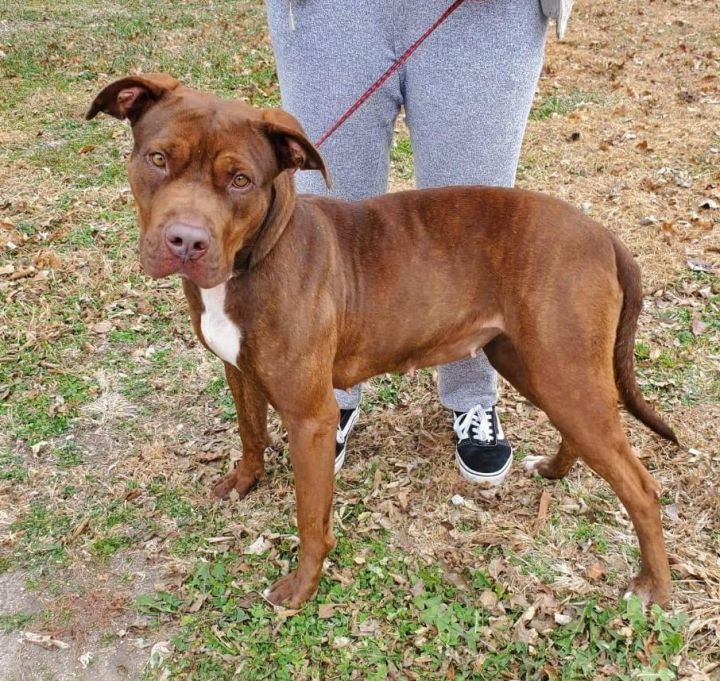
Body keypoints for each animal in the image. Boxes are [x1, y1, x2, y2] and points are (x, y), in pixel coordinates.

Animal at [87, 74, 676, 604]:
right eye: (158, 159)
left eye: (241, 180)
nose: (186, 241)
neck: (255, 257)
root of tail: (602, 235)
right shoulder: (239, 371)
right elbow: (251, 434)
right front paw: (245, 481)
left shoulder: (309, 417)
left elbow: (310, 517)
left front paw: (301, 587)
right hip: (532, 363)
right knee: (581, 433)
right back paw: (553, 471)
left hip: (560, 368)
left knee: (642, 488)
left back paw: (653, 588)